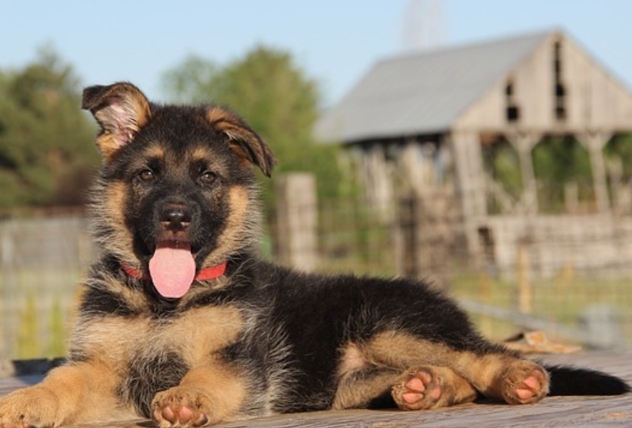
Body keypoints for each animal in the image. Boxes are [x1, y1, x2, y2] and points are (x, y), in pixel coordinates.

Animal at [0, 82, 628, 426]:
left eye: (206, 177)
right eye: (147, 174)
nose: (175, 217)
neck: (163, 303)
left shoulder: (239, 359)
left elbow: (207, 372)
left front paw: (187, 397)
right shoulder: (101, 367)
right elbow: (60, 383)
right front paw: (22, 402)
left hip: (390, 322)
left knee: (481, 355)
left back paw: (517, 377)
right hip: (352, 376)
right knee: (456, 377)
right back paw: (424, 387)